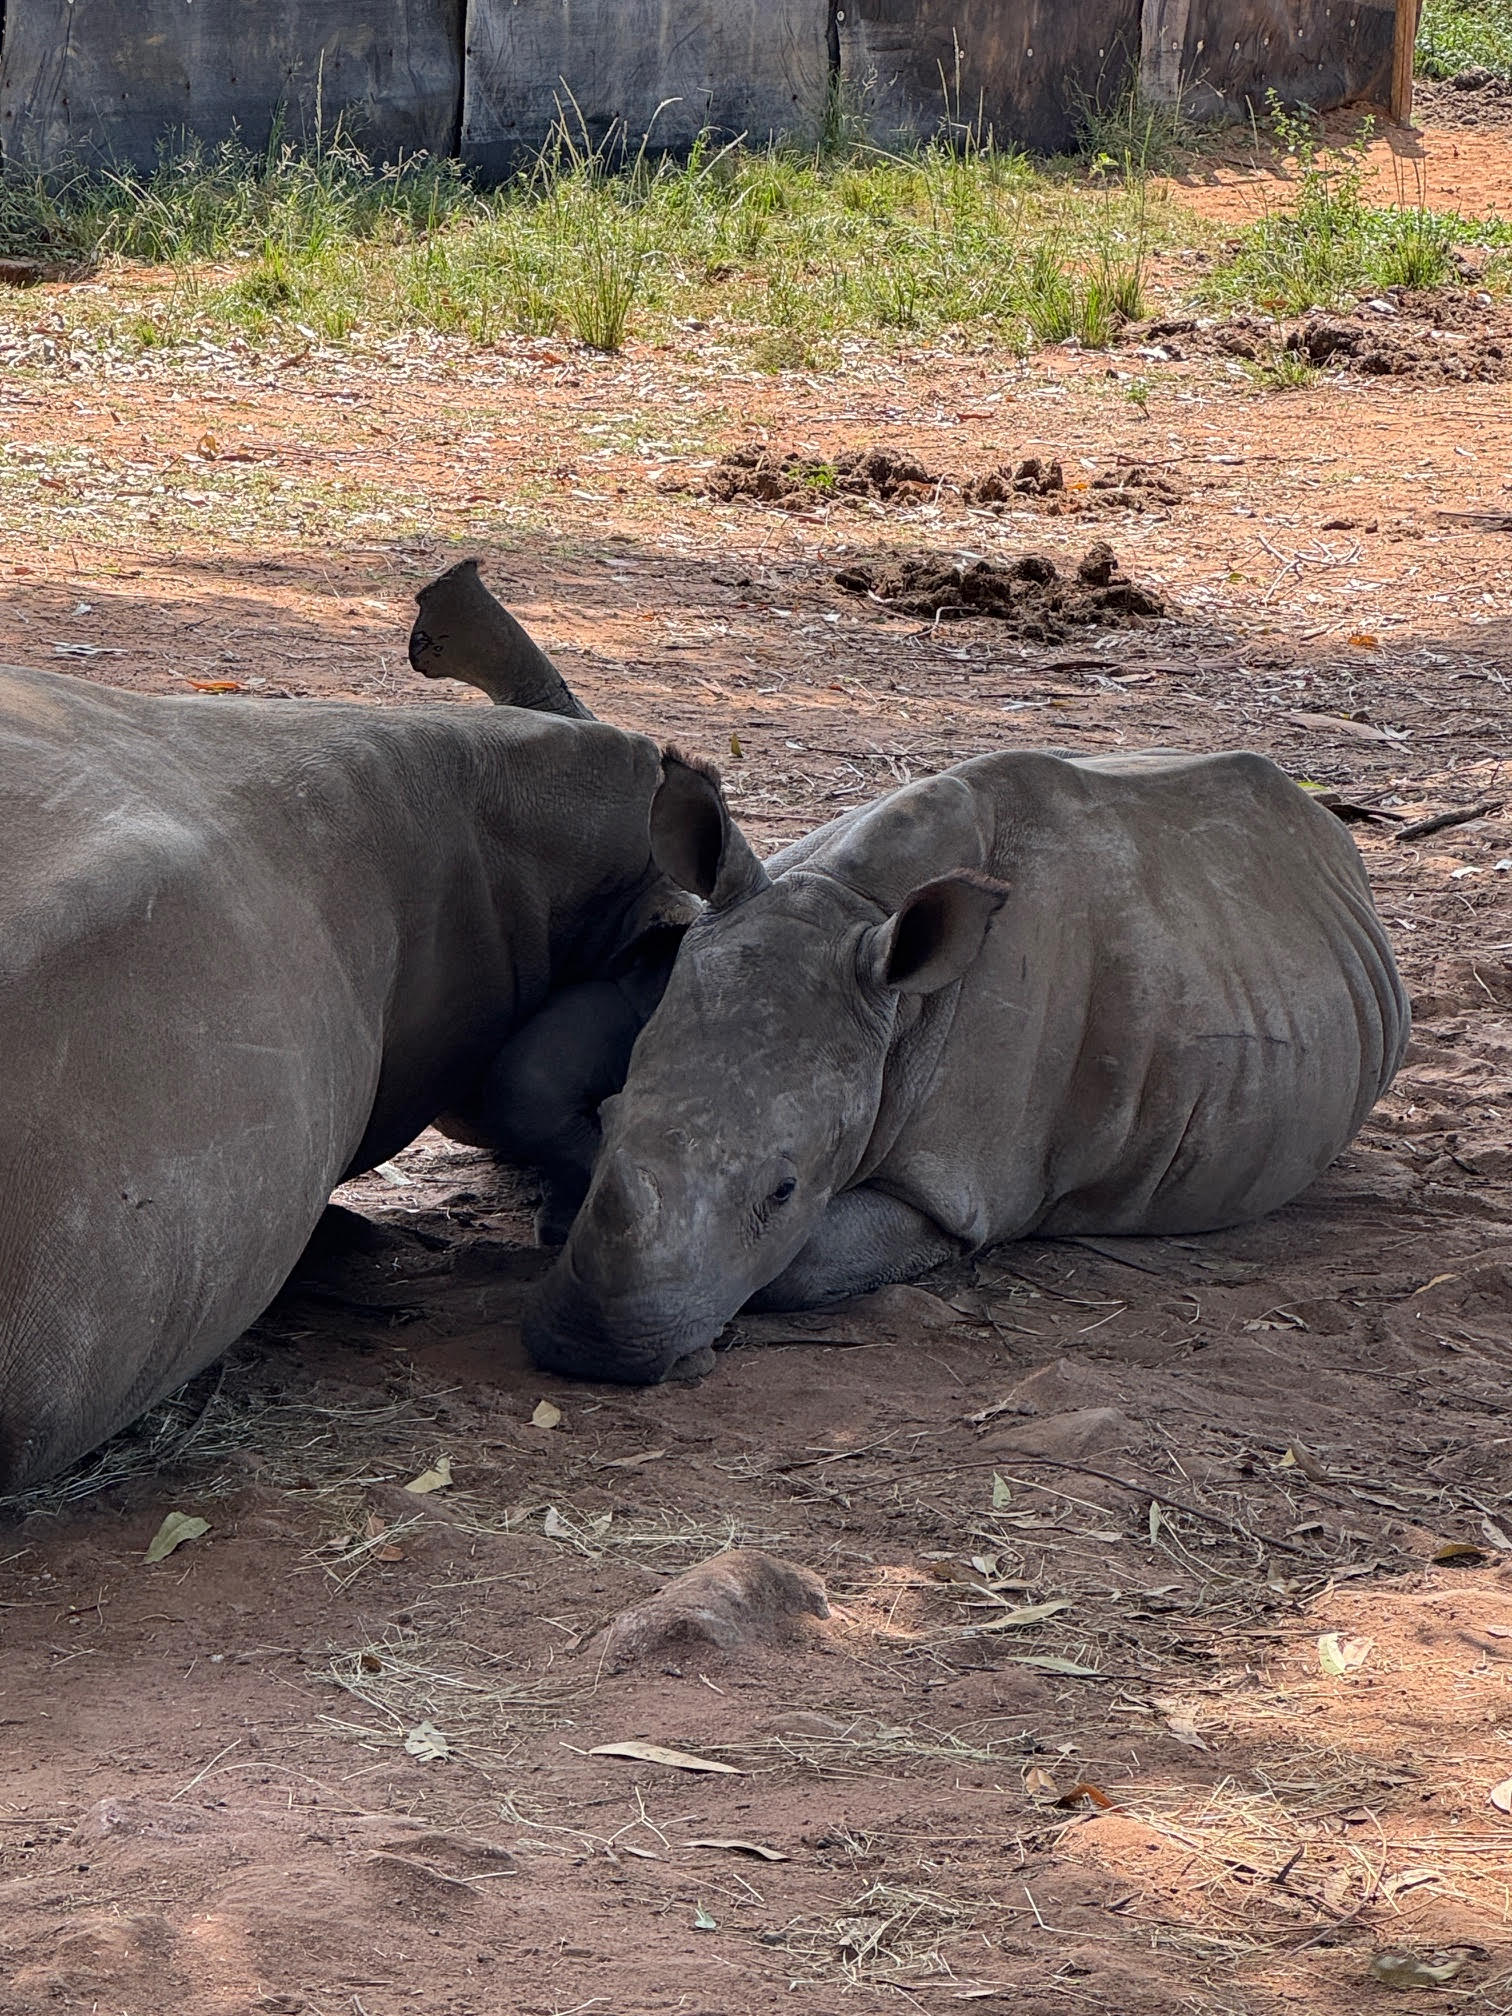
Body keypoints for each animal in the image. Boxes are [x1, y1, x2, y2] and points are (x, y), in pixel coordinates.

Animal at [524, 746, 1409, 1383]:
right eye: (609, 1117)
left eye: (783, 1191)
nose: (593, 1349)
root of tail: (1333, 835)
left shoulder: (954, 1184)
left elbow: (800, 1264)